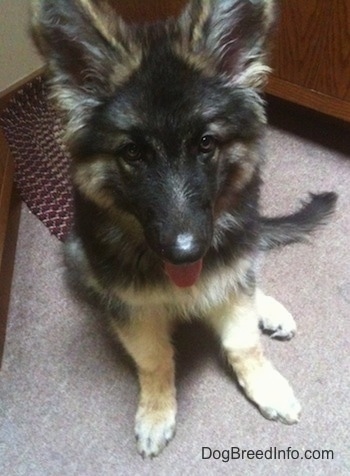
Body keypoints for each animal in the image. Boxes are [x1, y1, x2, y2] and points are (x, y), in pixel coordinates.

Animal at [32, 0, 336, 458]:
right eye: (133, 153)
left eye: (206, 143)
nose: (186, 252)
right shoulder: (133, 308)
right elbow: (154, 359)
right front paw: (157, 411)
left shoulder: (227, 271)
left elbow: (243, 342)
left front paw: (265, 385)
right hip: (76, 251)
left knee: (247, 272)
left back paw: (266, 308)